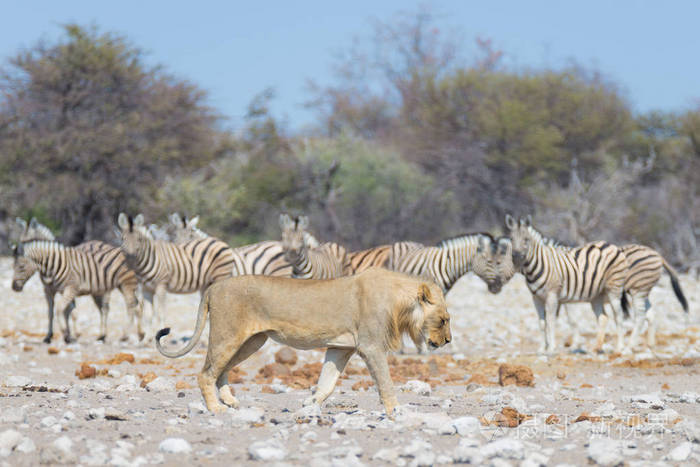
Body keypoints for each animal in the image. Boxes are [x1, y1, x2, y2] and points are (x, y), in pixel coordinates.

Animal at [155, 266, 452, 416]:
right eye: (443, 320)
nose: (449, 341)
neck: (400, 304)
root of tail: (213, 287)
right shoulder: (371, 347)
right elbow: (386, 382)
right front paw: (396, 410)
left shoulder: (341, 348)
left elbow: (327, 382)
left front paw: (310, 403)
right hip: (228, 334)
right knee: (206, 373)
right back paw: (216, 407)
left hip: (252, 341)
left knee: (221, 370)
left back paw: (230, 401)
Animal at [504, 216, 628, 354]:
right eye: (511, 239)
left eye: (526, 239)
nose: (515, 259)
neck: (537, 265)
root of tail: (612, 245)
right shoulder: (536, 298)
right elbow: (542, 323)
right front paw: (542, 348)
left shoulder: (552, 295)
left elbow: (551, 321)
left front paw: (551, 348)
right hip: (596, 295)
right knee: (602, 317)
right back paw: (596, 348)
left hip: (614, 288)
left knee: (618, 316)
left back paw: (619, 347)